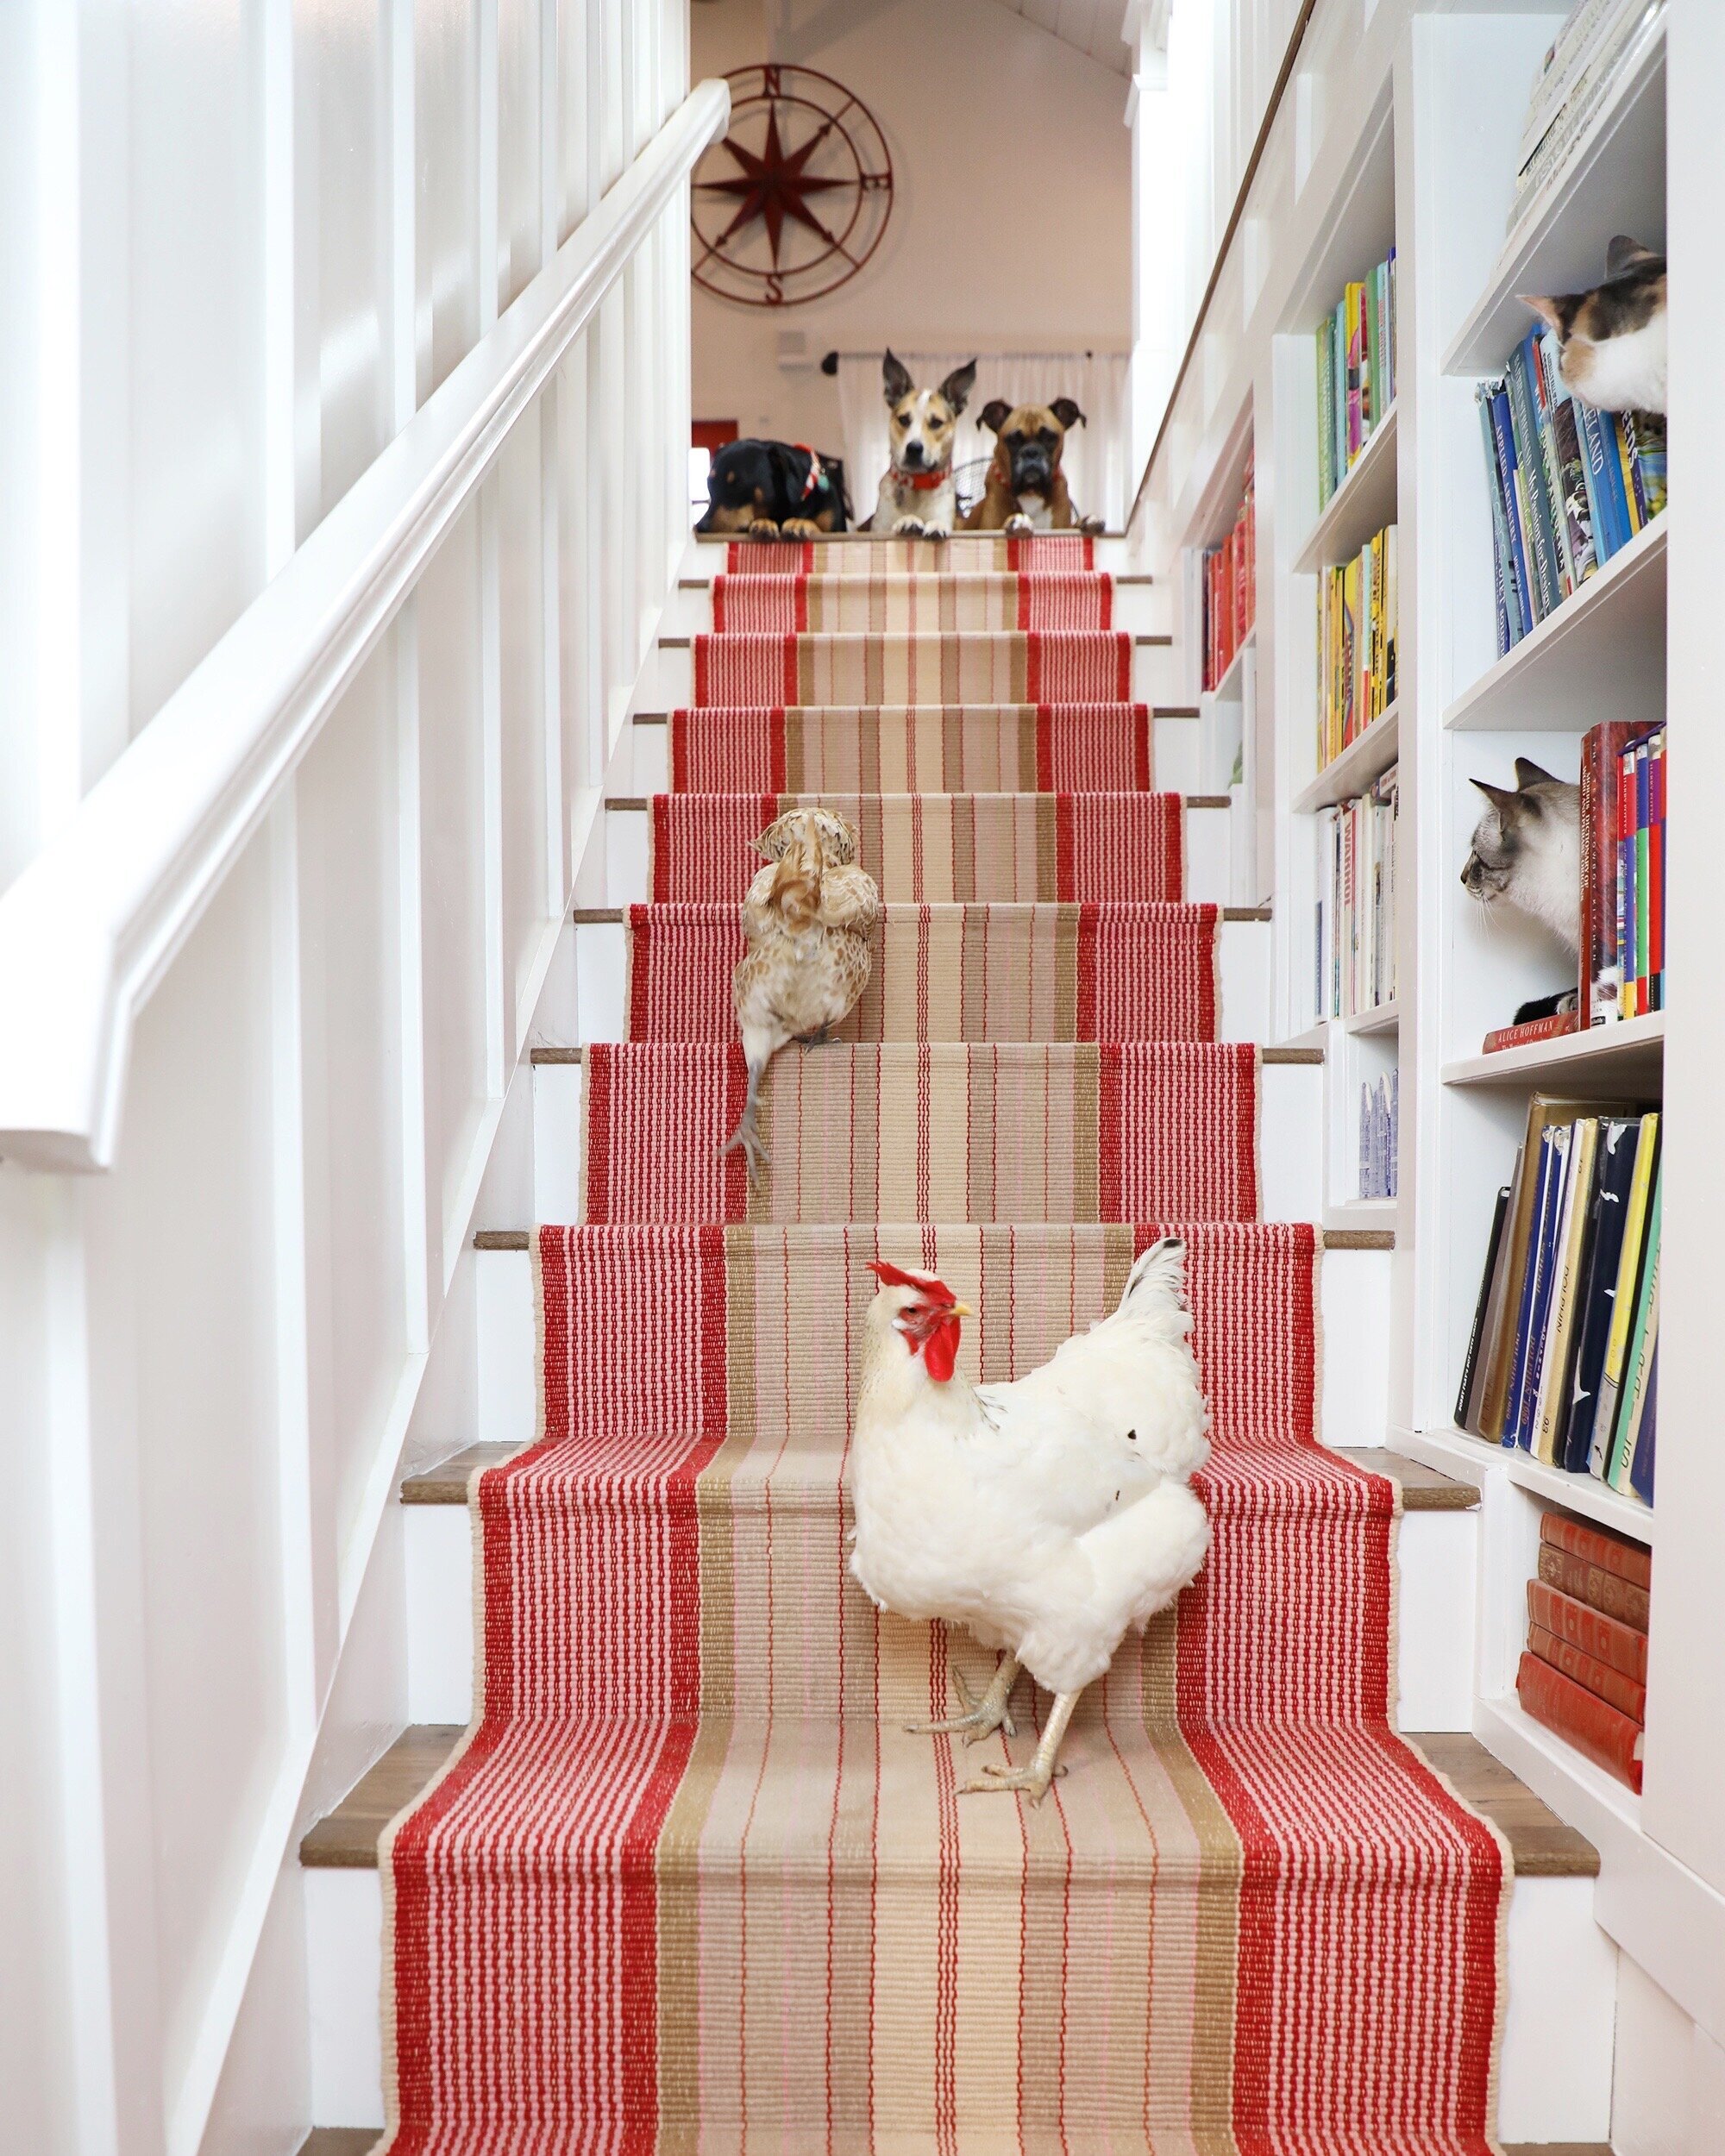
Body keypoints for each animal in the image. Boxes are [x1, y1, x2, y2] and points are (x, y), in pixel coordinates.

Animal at [699, 437, 854, 539]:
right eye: (709, 484)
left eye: (738, 484)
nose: (700, 527)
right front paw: (764, 523)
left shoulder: (837, 531)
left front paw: (800, 523)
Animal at [871, 351, 979, 536]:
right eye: (904, 419)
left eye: (936, 423)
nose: (914, 448)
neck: (918, 484)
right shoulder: (878, 531)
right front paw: (908, 520)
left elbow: (940, 522)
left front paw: (937, 526)